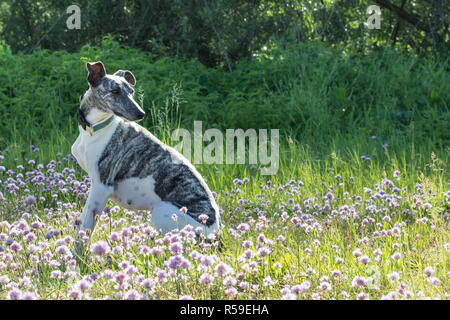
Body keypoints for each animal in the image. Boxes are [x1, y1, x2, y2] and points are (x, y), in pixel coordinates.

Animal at [71, 60, 221, 250]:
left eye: (131, 91)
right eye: (115, 91)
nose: (141, 113)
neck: (94, 128)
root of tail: (215, 234)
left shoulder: (100, 187)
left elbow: (84, 229)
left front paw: (76, 256)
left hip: (161, 212)